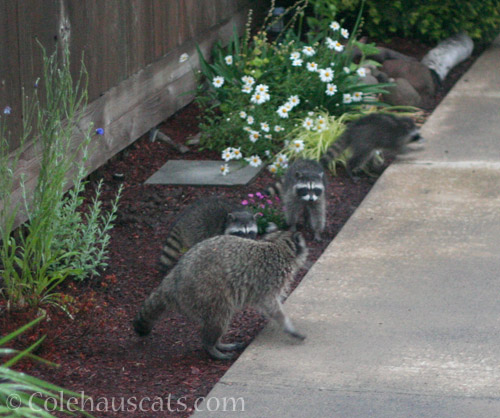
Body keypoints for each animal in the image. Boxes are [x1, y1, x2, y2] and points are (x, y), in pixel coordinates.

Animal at [135, 230, 310, 360]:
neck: (277, 245)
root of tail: (173, 279)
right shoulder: (268, 278)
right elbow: (270, 305)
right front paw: (287, 325)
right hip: (206, 294)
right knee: (219, 317)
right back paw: (211, 346)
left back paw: (218, 343)